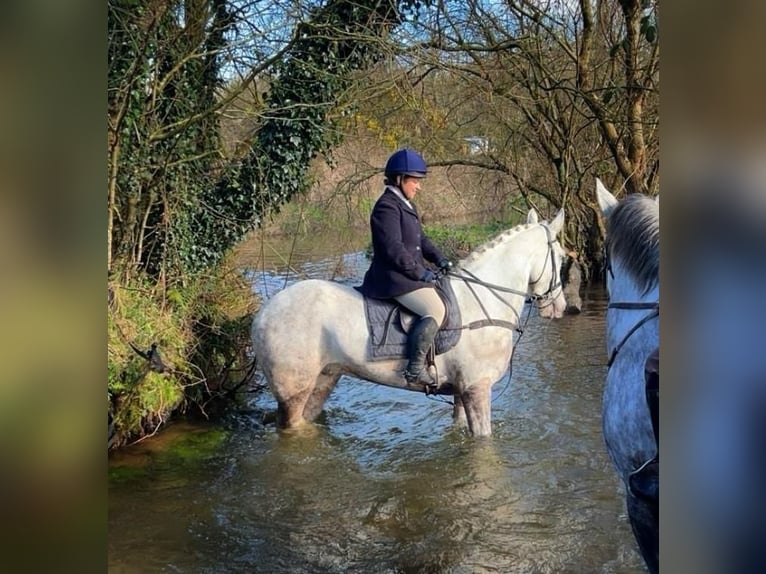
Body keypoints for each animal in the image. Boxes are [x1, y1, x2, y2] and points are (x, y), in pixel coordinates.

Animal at [254, 209, 568, 438]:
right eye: (562, 257)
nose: (561, 307)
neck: (484, 301)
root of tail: (263, 313)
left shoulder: (461, 392)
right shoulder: (476, 389)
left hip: (323, 380)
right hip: (294, 392)